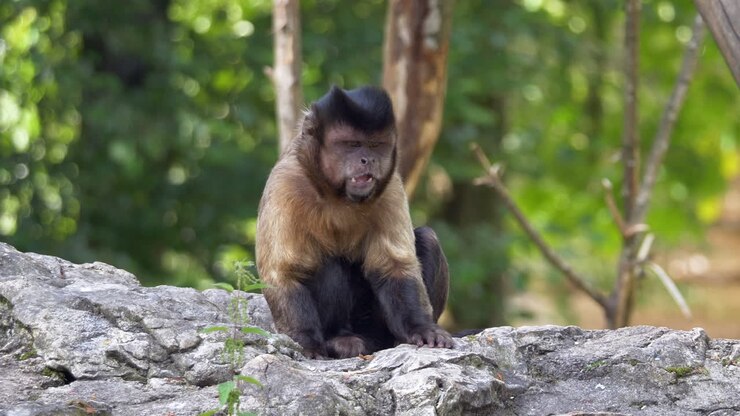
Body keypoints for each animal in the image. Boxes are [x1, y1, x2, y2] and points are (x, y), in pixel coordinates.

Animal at [255, 85, 453, 359]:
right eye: (352, 145)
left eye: (375, 145)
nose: (367, 160)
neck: (336, 194)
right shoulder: (285, 183)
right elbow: (284, 271)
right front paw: (307, 340)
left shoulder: (390, 187)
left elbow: (394, 266)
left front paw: (421, 328)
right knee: (328, 263)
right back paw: (340, 339)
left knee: (427, 238)